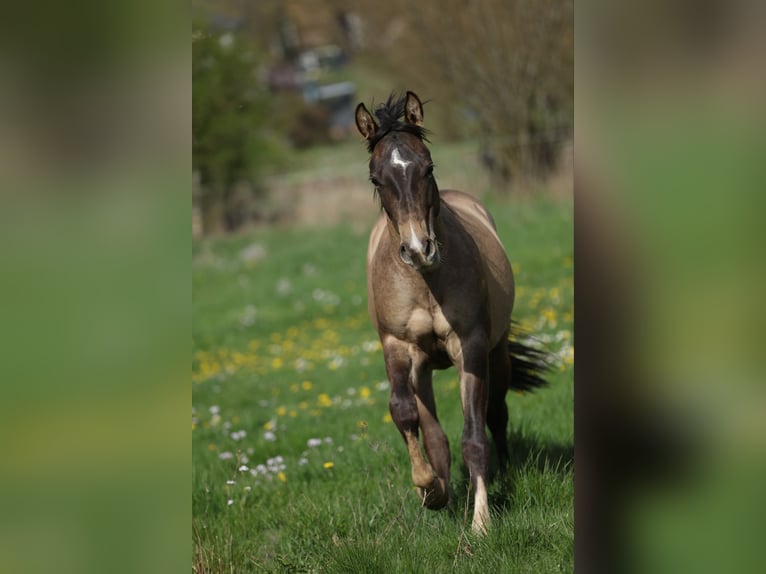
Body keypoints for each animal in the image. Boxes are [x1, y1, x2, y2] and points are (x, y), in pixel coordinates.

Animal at [355, 91, 548, 533]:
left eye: (428, 167)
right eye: (376, 179)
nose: (418, 249)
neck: (427, 283)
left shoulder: (471, 347)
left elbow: (474, 436)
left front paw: (481, 521)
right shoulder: (396, 346)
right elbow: (405, 414)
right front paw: (429, 489)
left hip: (496, 354)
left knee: (497, 415)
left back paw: (505, 473)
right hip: (423, 367)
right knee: (434, 433)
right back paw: (440, 491)